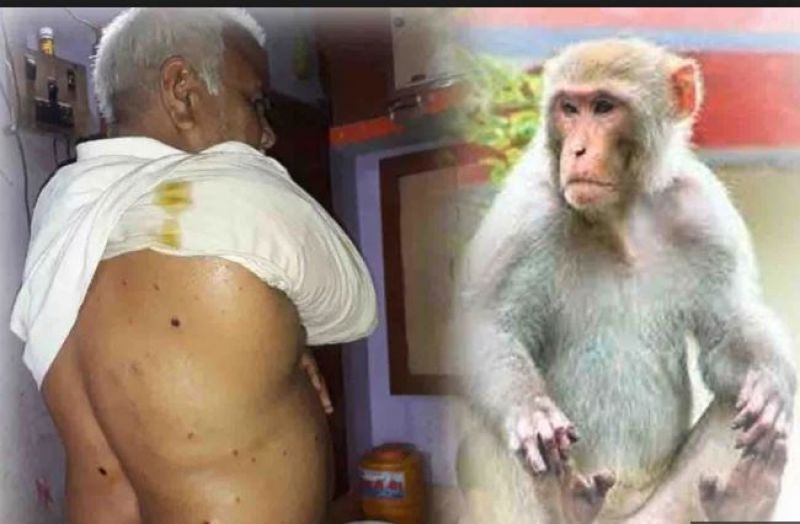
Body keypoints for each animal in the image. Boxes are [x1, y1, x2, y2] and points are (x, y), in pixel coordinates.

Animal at [452, 38, 797, 523]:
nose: (577, 150)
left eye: (603, 107)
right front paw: (531, 414)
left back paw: (746, 498)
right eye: (569, 109)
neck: (619, 216)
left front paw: (769, 383)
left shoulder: (706, 215)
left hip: (663, 508)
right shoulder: (524, 215)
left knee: (734, 404)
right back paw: (561, 498)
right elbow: (487, 328)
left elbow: (729, 332)